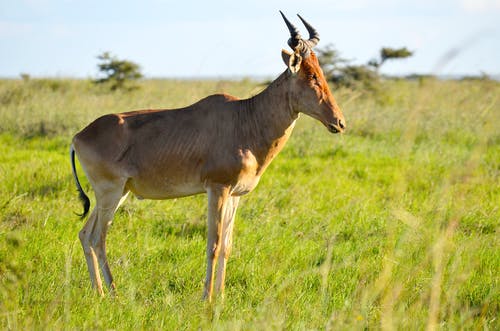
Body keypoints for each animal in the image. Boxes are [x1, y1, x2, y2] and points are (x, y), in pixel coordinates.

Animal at [69, 11, 344, 302]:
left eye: (321, 72)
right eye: (310, 75)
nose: (339, 122)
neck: (245, 118)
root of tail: (78, 136)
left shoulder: (235, 195)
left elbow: (226, 246)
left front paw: (220, 296)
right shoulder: (217, 188)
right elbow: (212, 243)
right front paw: (206, 298)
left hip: (118, 192)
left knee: (85, 234)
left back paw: (99, 292)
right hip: (110, 193)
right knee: (98, 238)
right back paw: (113, 293)